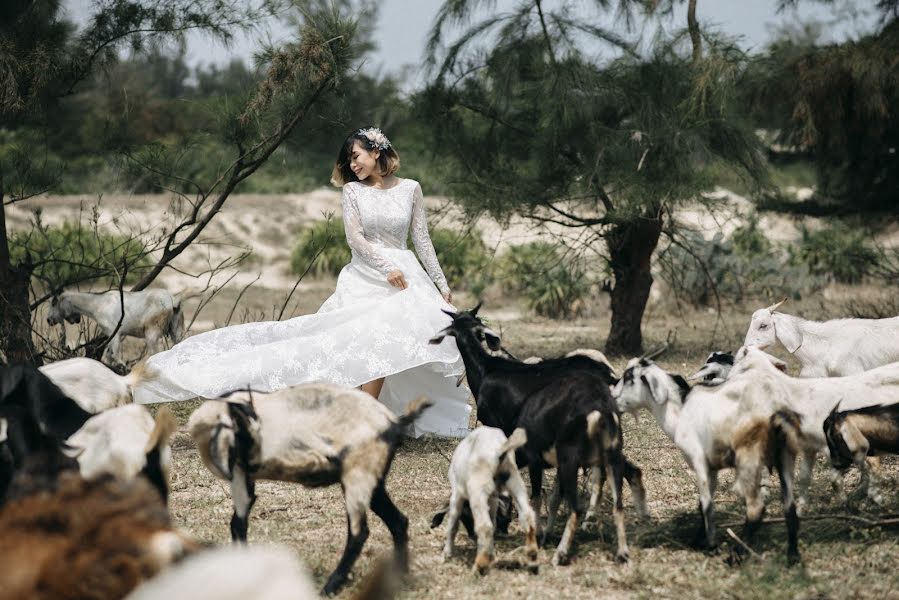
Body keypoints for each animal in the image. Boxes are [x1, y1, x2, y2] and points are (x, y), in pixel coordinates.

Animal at [47, 288, 186, 368]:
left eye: (53, 303)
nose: (48, 320)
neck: (97, 304)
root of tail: (172, 300)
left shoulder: (115, 332)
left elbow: (114, 355)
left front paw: (122, 366)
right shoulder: (112, 335)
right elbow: (109, 355)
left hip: (152, 332)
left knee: (155, 352)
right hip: (177, 328)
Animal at [186, 384, 432, 596]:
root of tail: (394, 423)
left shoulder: (238, 471)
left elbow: (238, 524)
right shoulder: (245, 475)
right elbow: (238, 522)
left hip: (358, 474)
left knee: (359, 532)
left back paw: (330, 587)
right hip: (372, 480)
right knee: (398, 521)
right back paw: (399, 577)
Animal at [442, 424, 536, 576]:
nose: (471, 536)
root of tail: (500, 450)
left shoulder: (457, 494)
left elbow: (453, 524)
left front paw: (447, 553)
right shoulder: (492, 498)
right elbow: (494, 521)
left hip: (477, 488)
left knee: (484, 526)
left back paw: (479, 567)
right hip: (515, 481)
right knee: (527, 516)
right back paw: (533, 555)